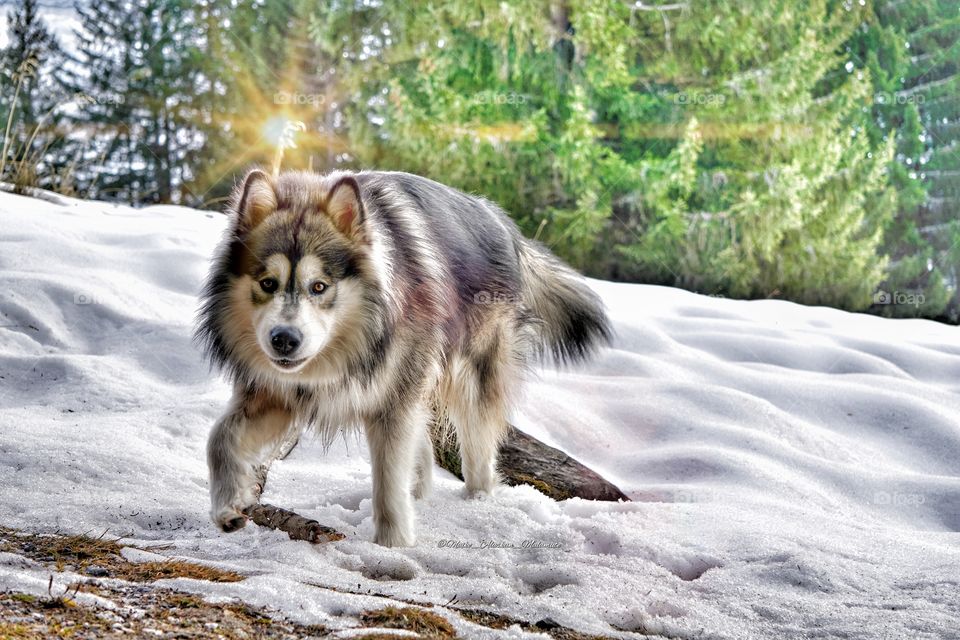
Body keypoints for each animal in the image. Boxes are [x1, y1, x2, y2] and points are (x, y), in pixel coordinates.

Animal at [195, 169, 611, 546]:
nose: (284, 340)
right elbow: (218, 438)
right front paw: (228, 506)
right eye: (268, 283)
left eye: (319, 287)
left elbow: (388, 481)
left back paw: (476, 505)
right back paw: (421, 494)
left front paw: (392, 547)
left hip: (467, 383)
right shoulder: (277, 396)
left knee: (477, 455)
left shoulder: (391, 405)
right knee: (423, 445)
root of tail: (500, 220)